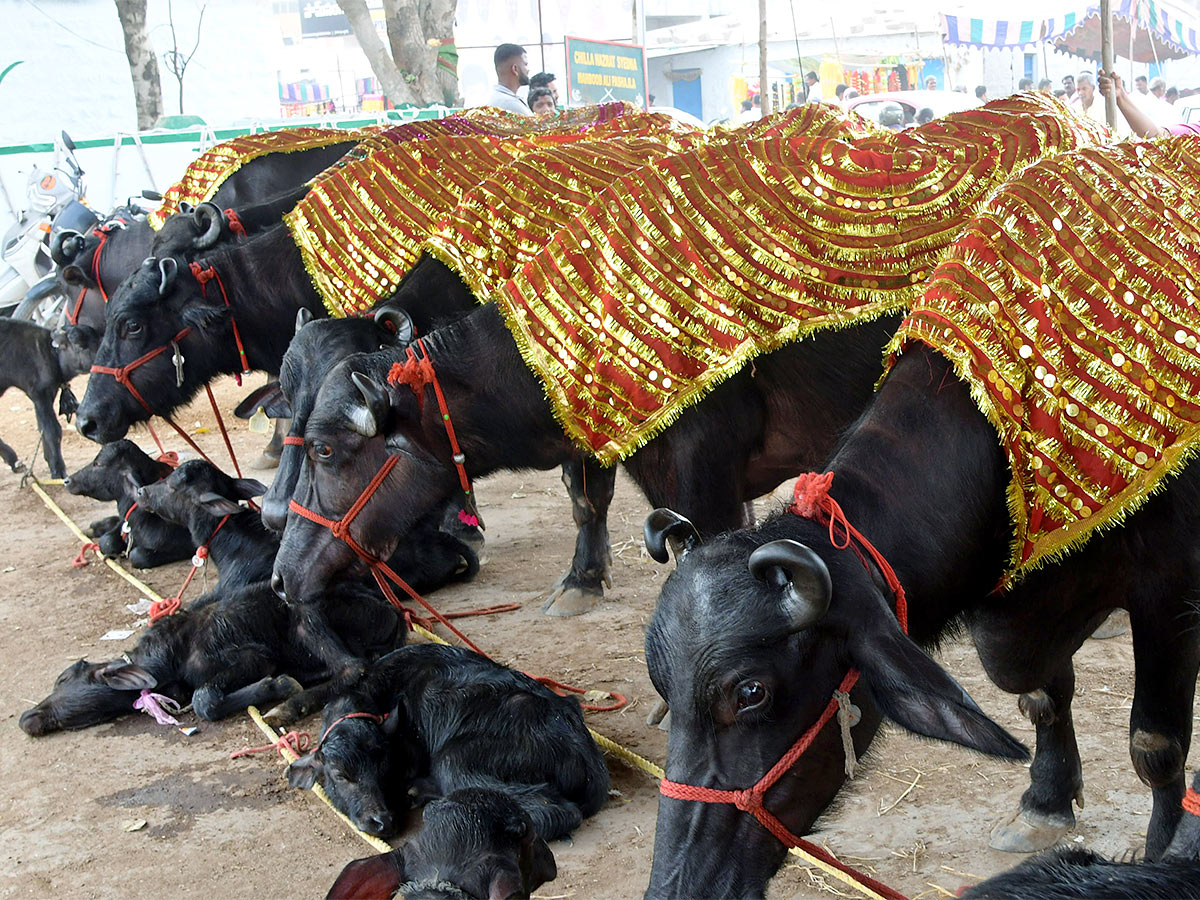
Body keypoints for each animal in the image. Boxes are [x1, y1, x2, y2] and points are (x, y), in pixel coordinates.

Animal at [18, 580, 405, 734]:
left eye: (65, 677)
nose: (26, 717)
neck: (168, 656)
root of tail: (393, 611)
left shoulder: (254, 657)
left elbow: (205, 699)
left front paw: (279, 686)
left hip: (305, 614)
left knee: (353, 668)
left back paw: (290, 706)